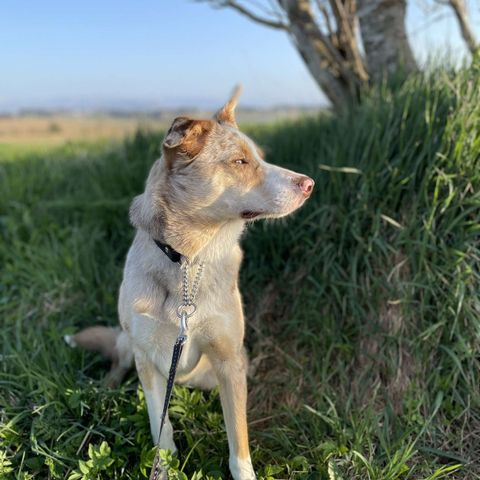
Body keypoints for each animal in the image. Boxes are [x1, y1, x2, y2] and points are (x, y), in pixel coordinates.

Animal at [66, 87, 316, 480]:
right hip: (127, 342)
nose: (309, 185)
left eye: (259, 157)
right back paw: (105, 391)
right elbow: (162, 430)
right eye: (240, 162)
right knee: (116, 361)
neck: (188, 261)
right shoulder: (147, 360)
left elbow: (238, 442)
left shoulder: (230, 361)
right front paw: (163, 469)